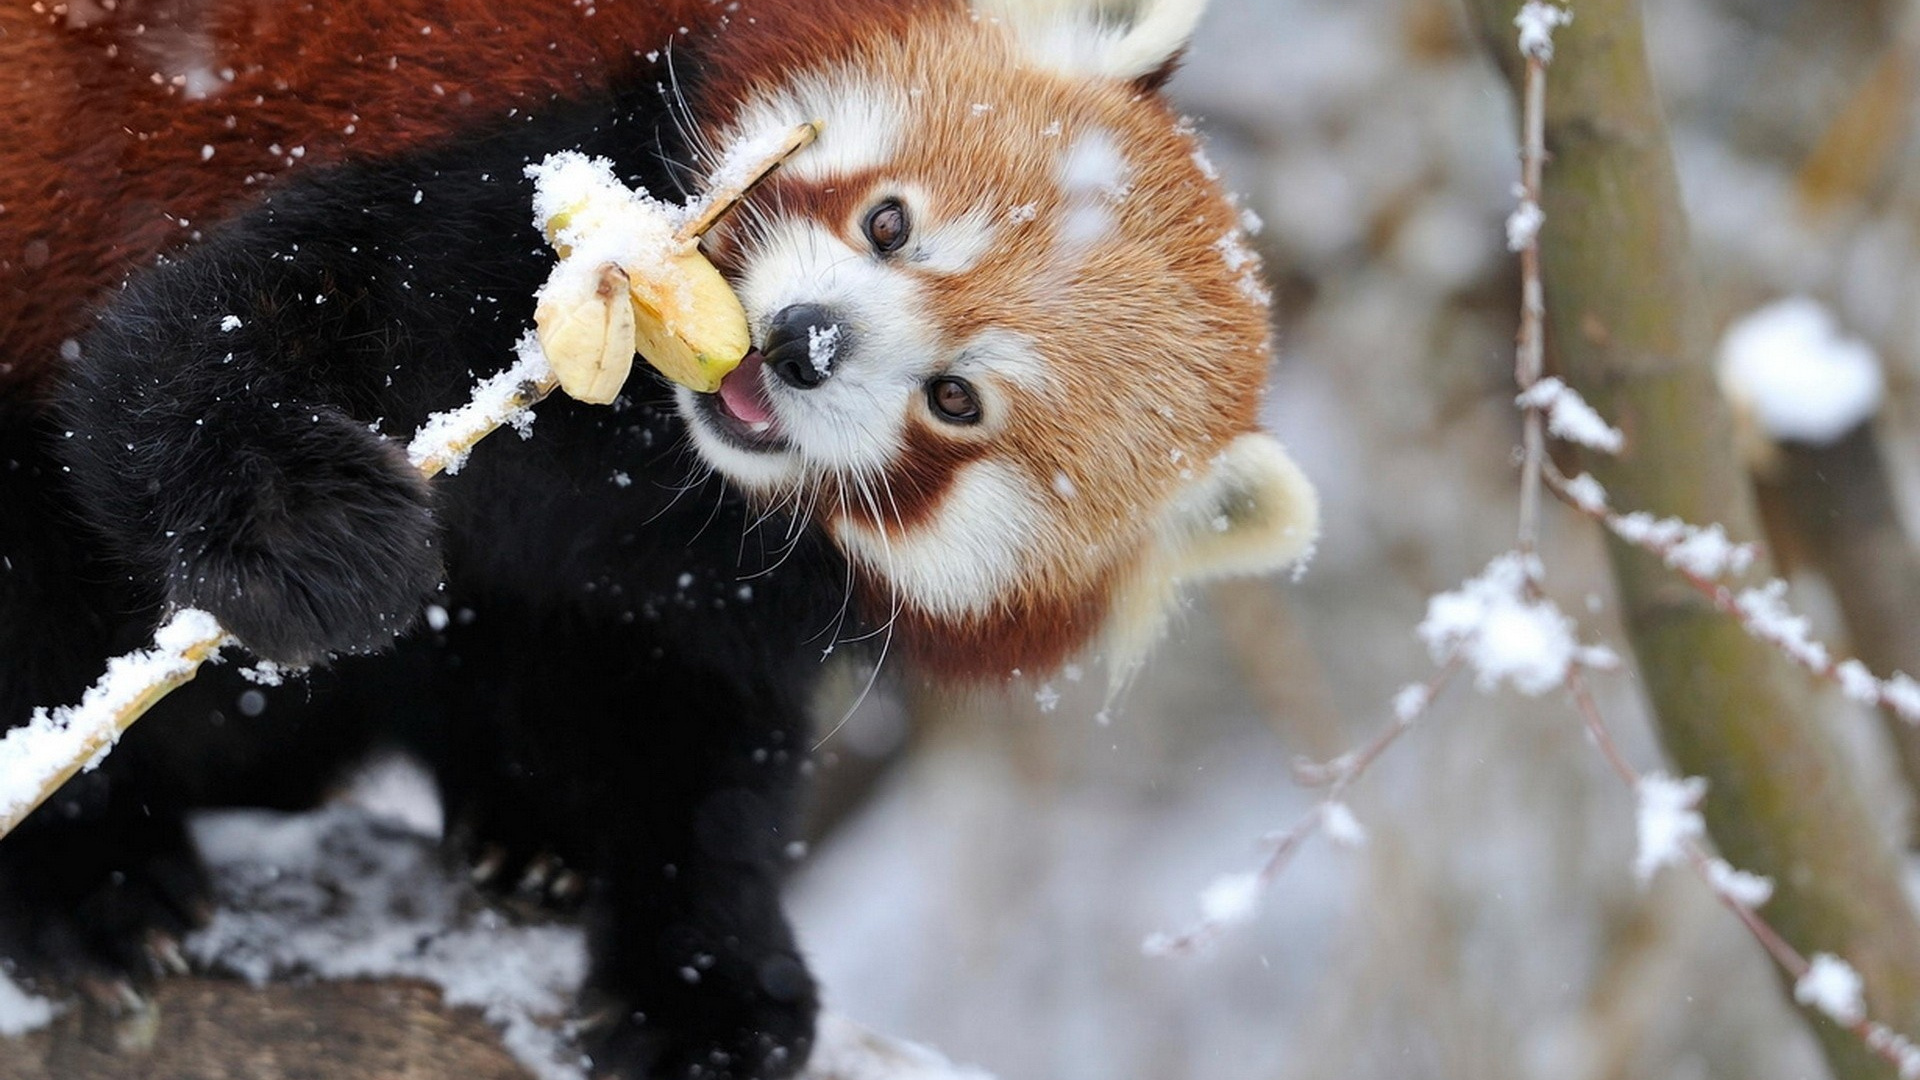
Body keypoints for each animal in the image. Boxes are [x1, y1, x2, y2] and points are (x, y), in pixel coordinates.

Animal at [0, 2, 1305, 1076]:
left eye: (958, 400)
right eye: (891, 222)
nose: (805, 342)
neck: (651, 459)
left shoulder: (714, 592)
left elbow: (698, 747)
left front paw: (710, 981)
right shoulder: (523, 190)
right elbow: (205, 334)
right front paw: (309, 532)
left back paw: (526, 831)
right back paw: (85, 877)